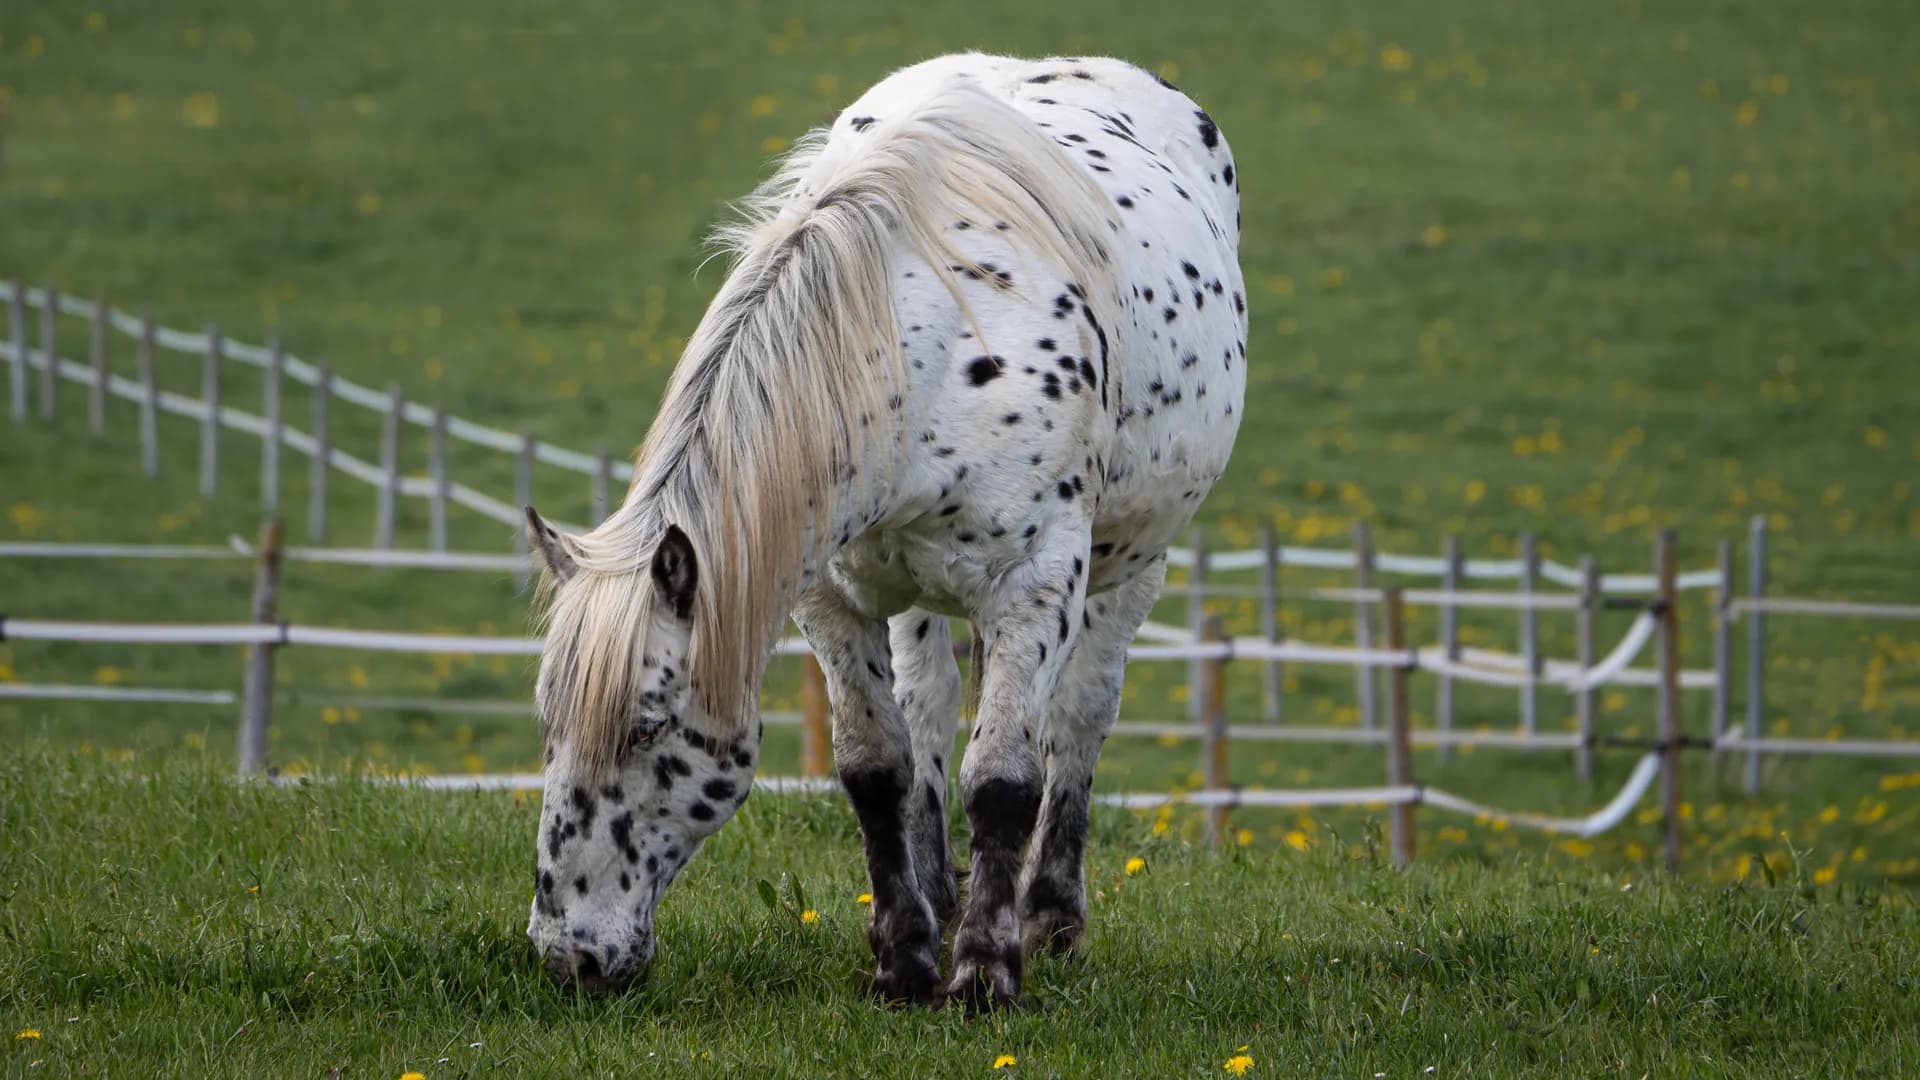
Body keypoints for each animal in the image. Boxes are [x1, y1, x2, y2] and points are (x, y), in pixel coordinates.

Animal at [523, 51, 1246, 1010]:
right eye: (549, 721)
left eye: (645, 729)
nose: (568, 955)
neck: (924, 353)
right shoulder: (832, 596)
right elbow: (877, 767)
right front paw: (904, 959)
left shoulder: (1037, 585)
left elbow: (1004, 779)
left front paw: (985, 974)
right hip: (914, 588)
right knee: (930, 714)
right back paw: (943, 896)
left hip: (1135, 567)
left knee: (1077, 723)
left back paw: (1049, 919)